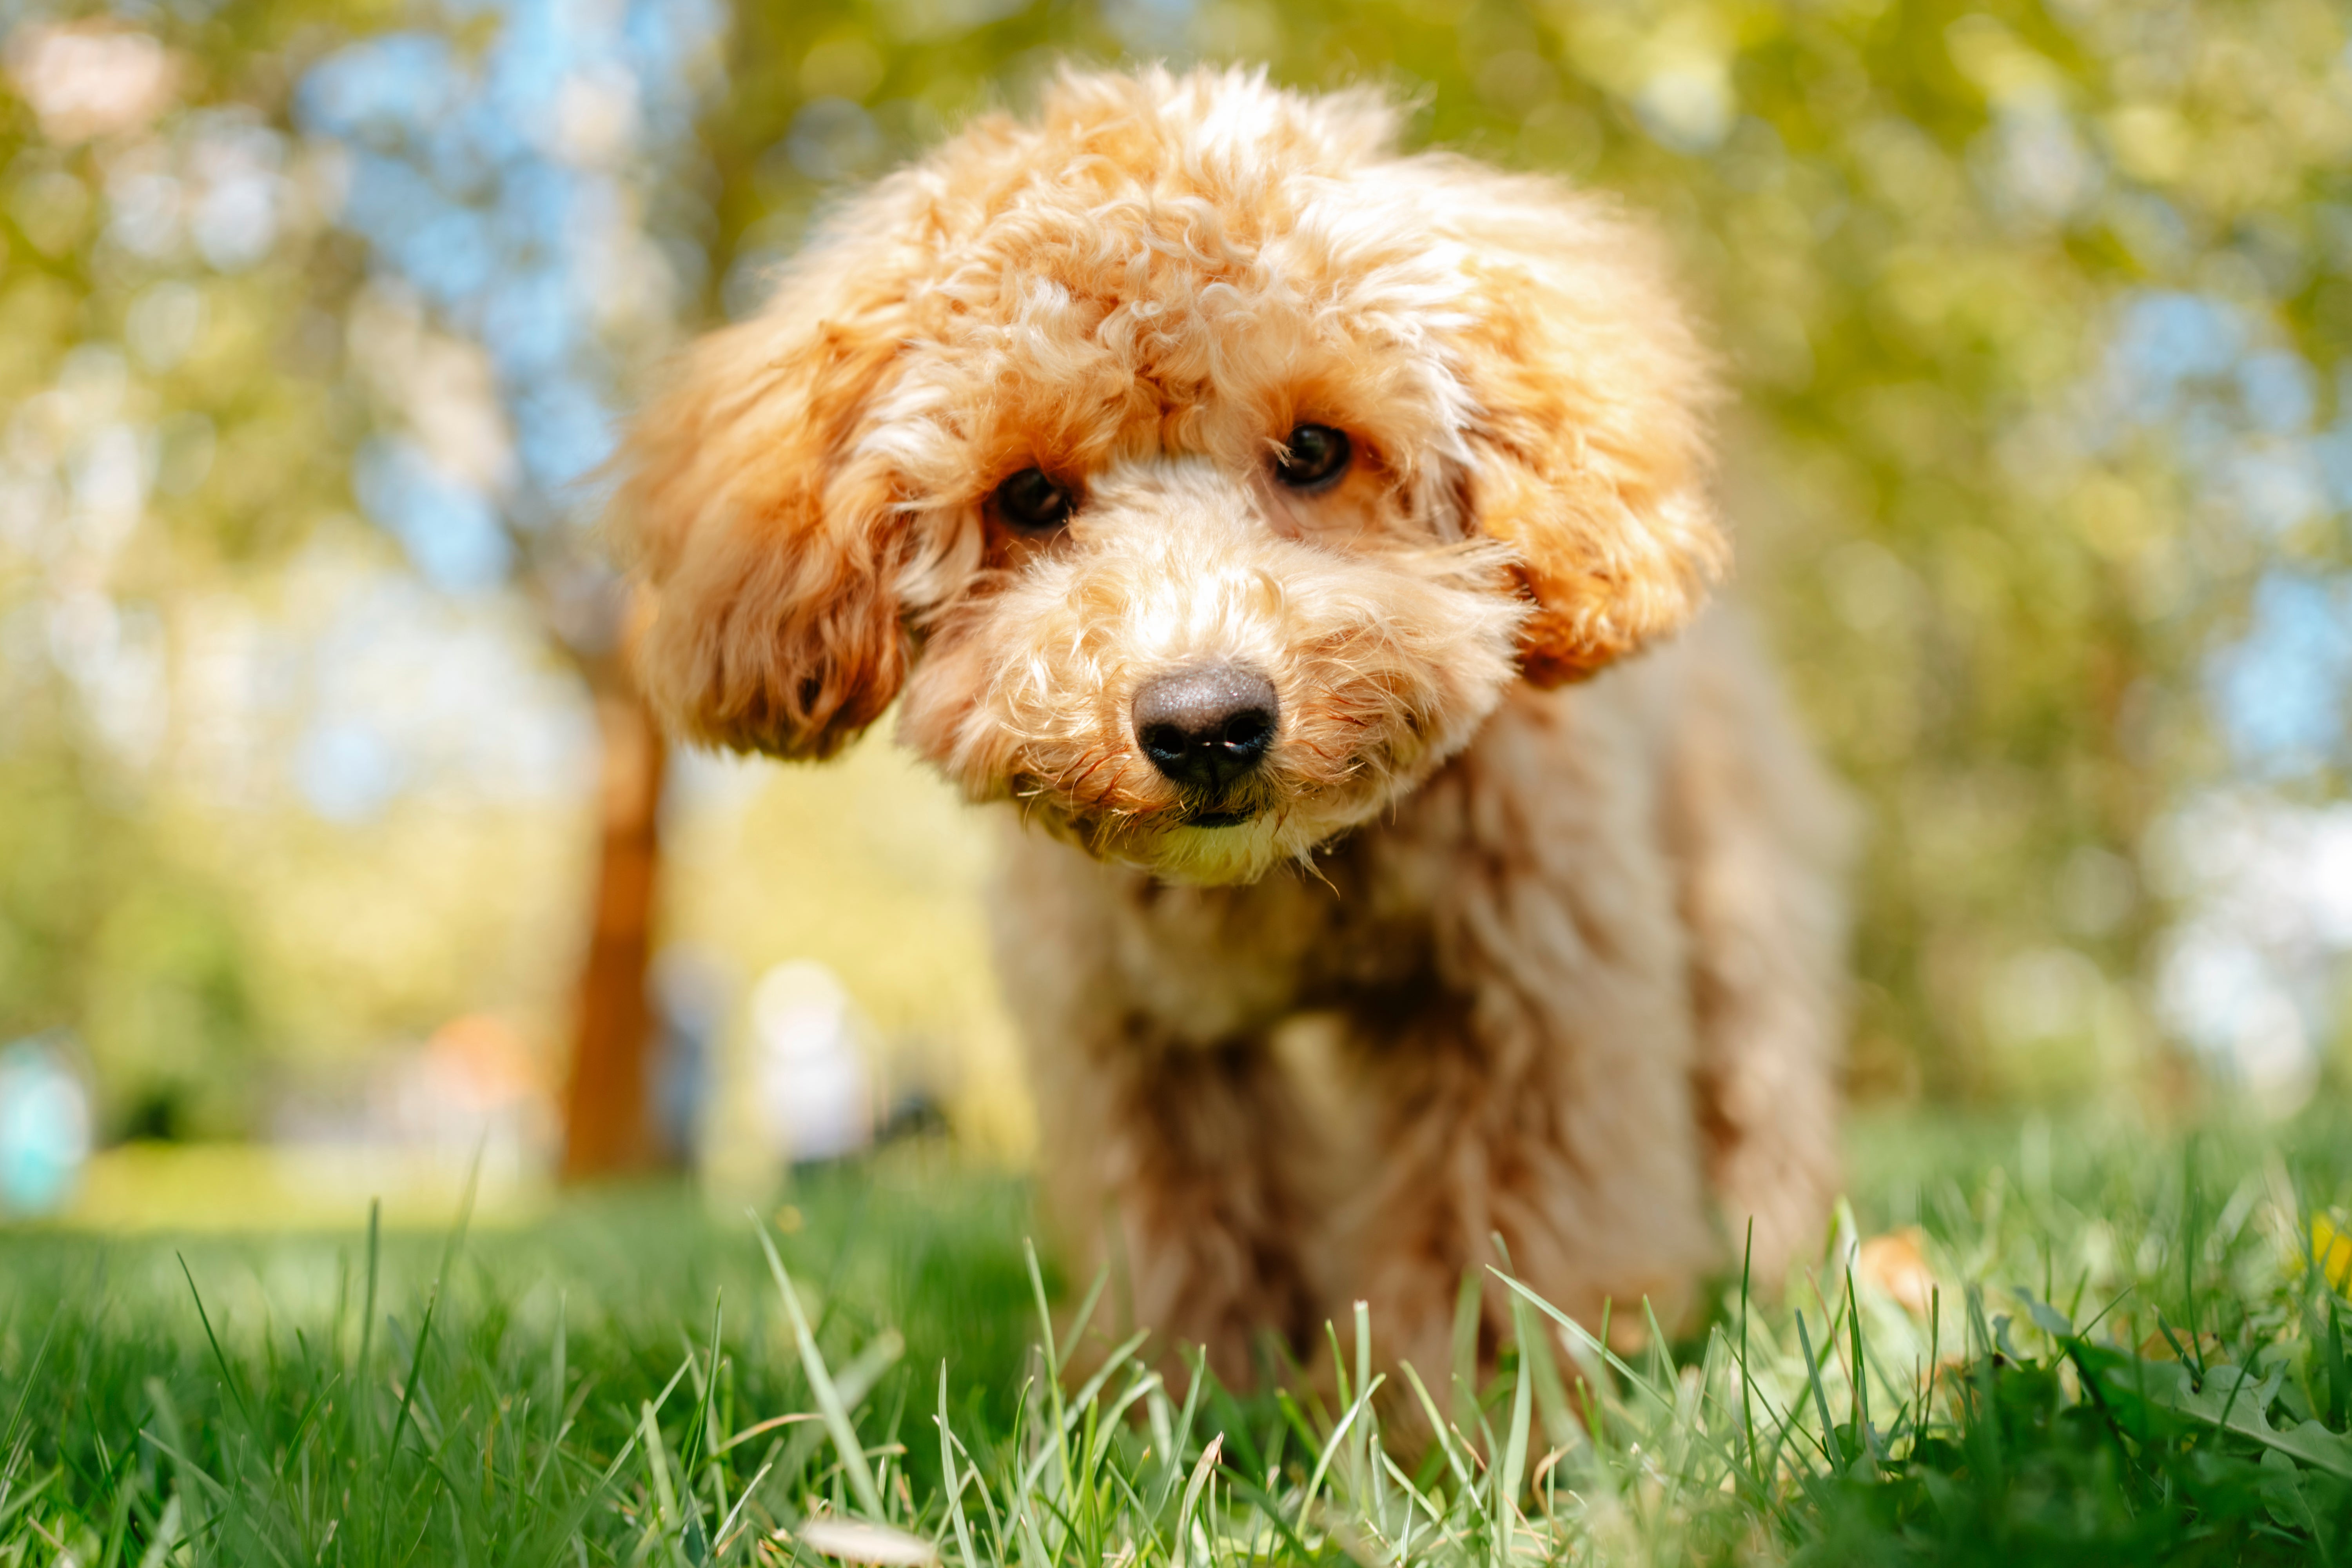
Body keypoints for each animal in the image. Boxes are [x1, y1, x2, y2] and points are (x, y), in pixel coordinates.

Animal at [612, 64, 1853, 1382]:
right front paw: (1195, 1393)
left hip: (1728, 893)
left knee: (1758, 1091)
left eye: (1313, 448)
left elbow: (1499, 1231)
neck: (1272, 885)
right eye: (1028, 494)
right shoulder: (1130, 1031)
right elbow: (1190, 1221)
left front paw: (1460, 1410)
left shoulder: (1525, 982)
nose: (1207, 722)